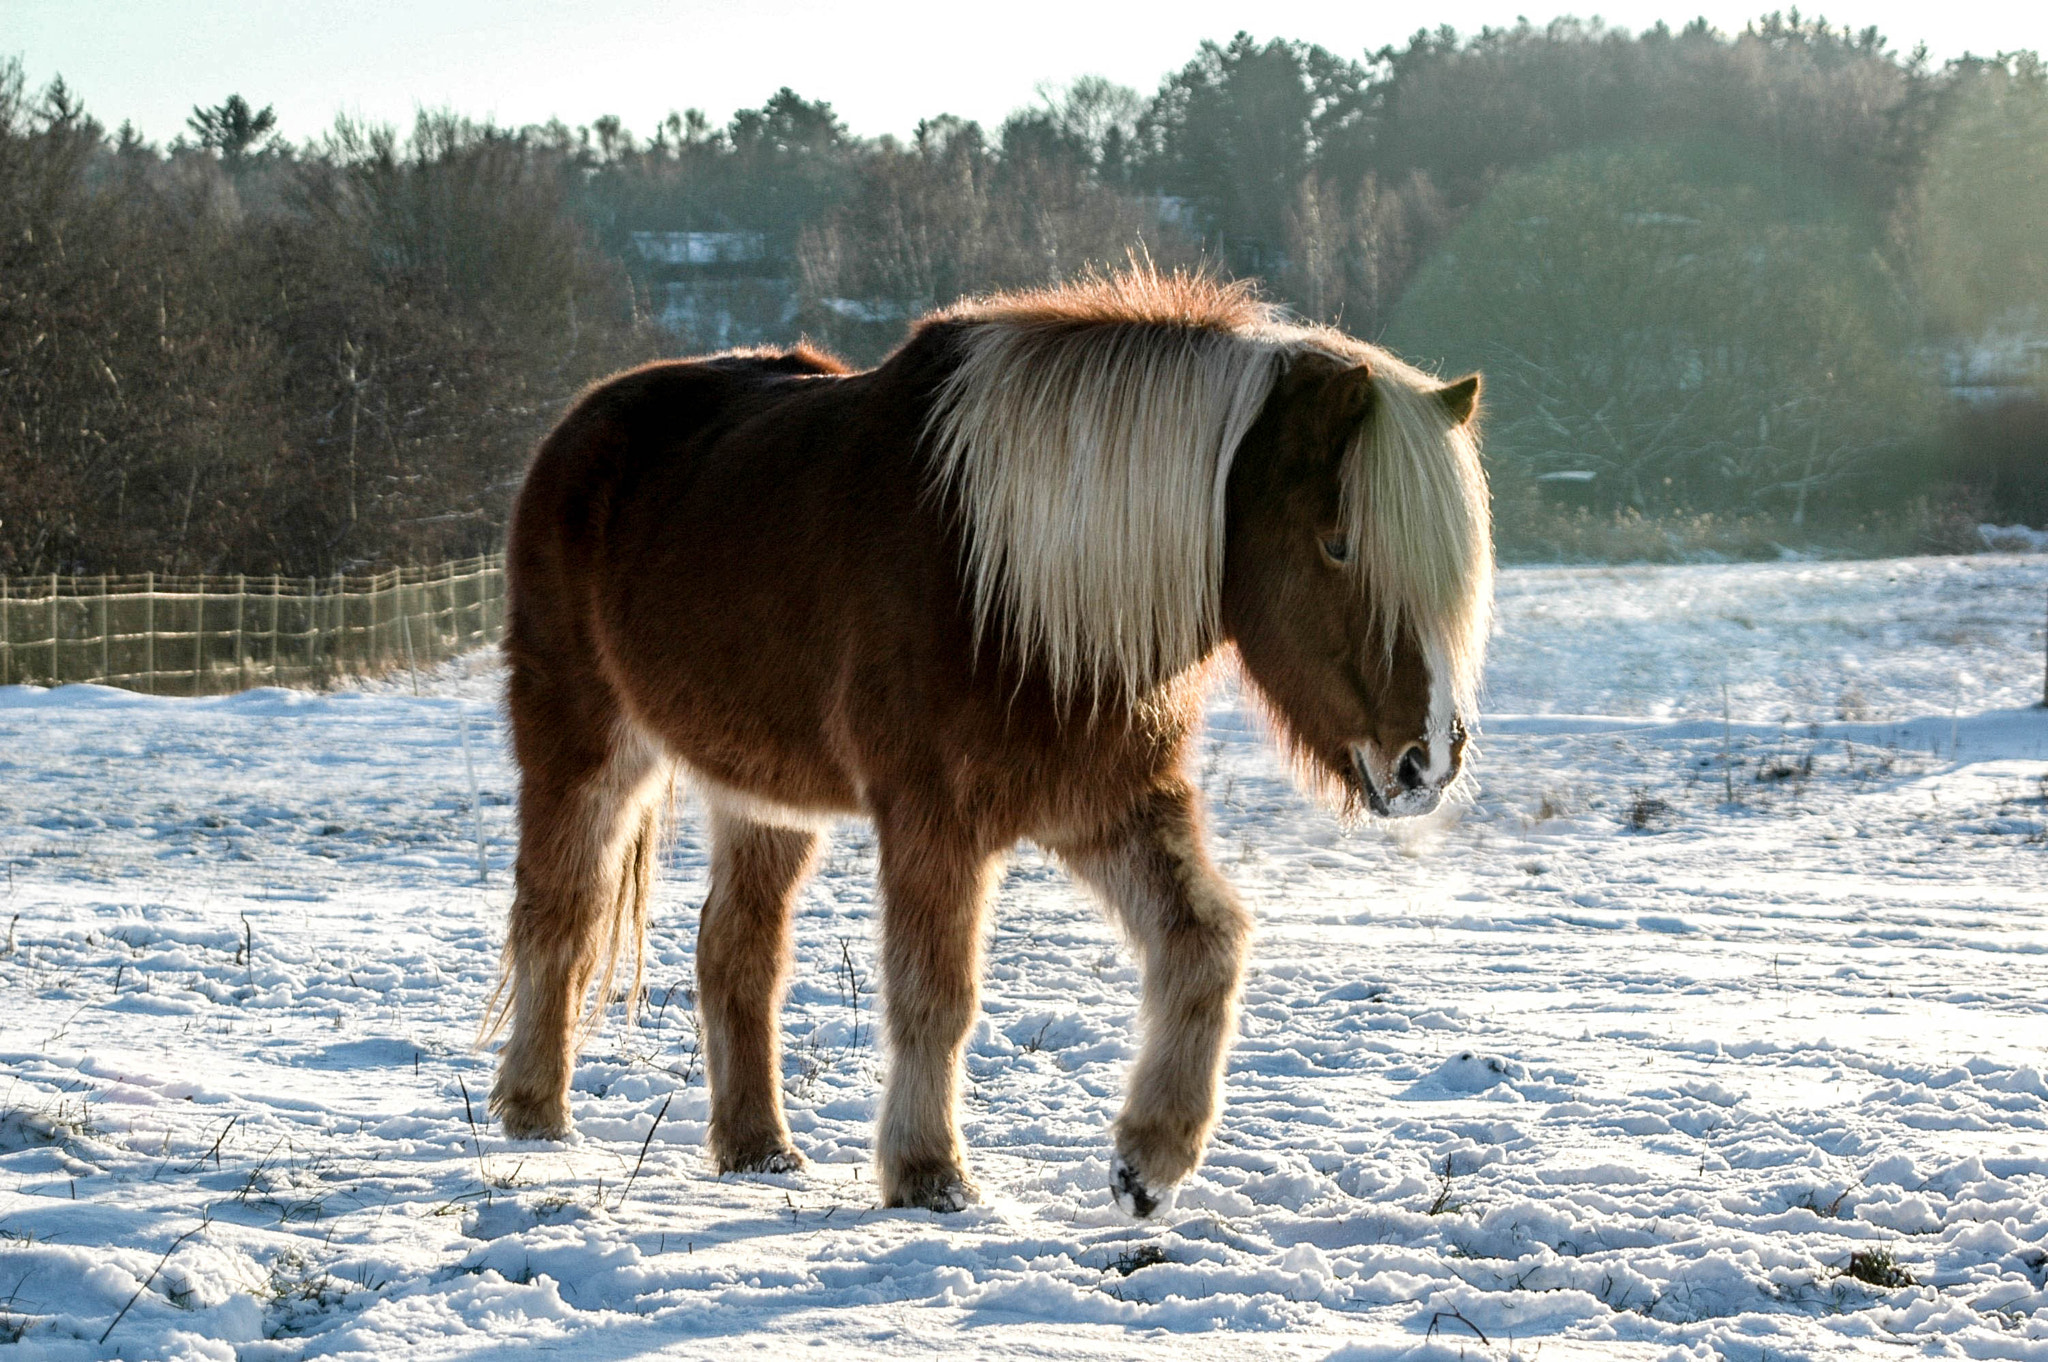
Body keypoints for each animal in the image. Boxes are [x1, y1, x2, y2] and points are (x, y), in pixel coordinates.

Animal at [484, 269, 1491, 1217]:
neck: (1016, 574)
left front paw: (1148, 1164)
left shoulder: (1109, 804)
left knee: (737, 951)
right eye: (1338, 542)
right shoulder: (934, 819)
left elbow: (1207, 941)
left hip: (763, 792)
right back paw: (535, 1115)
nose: (1427, 762)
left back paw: (758, 1149)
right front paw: (930, 1174)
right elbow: (938, 995)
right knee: (559, 916)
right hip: (581, 745)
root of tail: (578, 427)